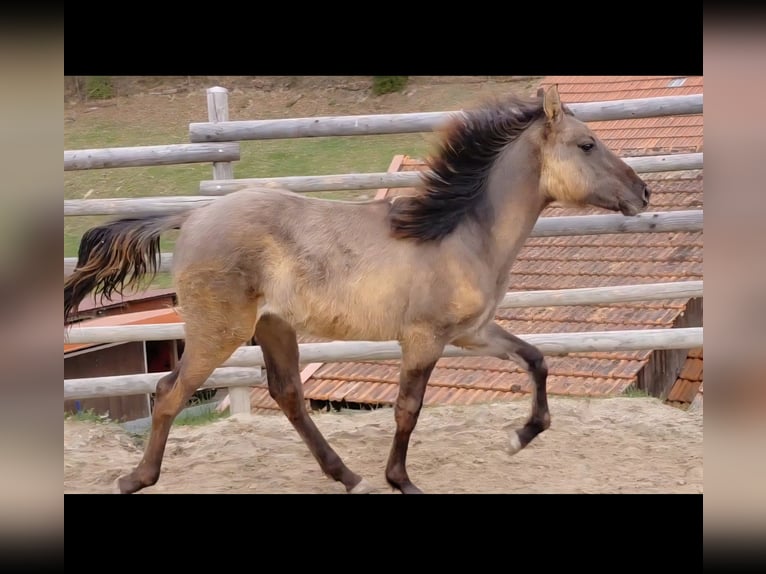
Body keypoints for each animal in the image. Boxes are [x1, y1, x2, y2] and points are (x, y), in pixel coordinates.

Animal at [64, 85, 651, 494]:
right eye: (587, 144)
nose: (642, 193)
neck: (459, 234)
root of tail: (193, 215)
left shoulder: (472, 333)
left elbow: (536, 360)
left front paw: (519, 437)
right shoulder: (424, 339)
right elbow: (408, 408)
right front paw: (403, 480)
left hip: (273, 328)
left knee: (287, 395)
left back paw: (347, 476)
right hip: (219, 332)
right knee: (170, 392)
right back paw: (134, 479)